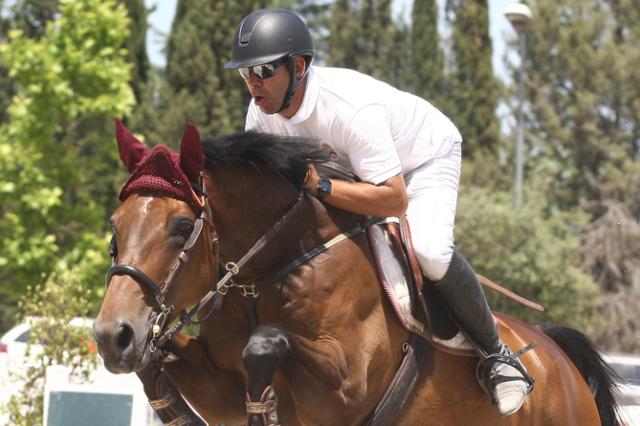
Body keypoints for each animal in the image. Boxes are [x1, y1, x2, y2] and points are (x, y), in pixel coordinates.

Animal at [94, 120, 620, 426]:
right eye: (115, 226)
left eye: (183, 227)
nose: (112, 336)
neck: (270, 269)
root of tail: (557, 356)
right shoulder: (220, 388)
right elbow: (163, 366)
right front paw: (150, 362)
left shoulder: (345, 389)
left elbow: (266, 341)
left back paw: (504, 374)